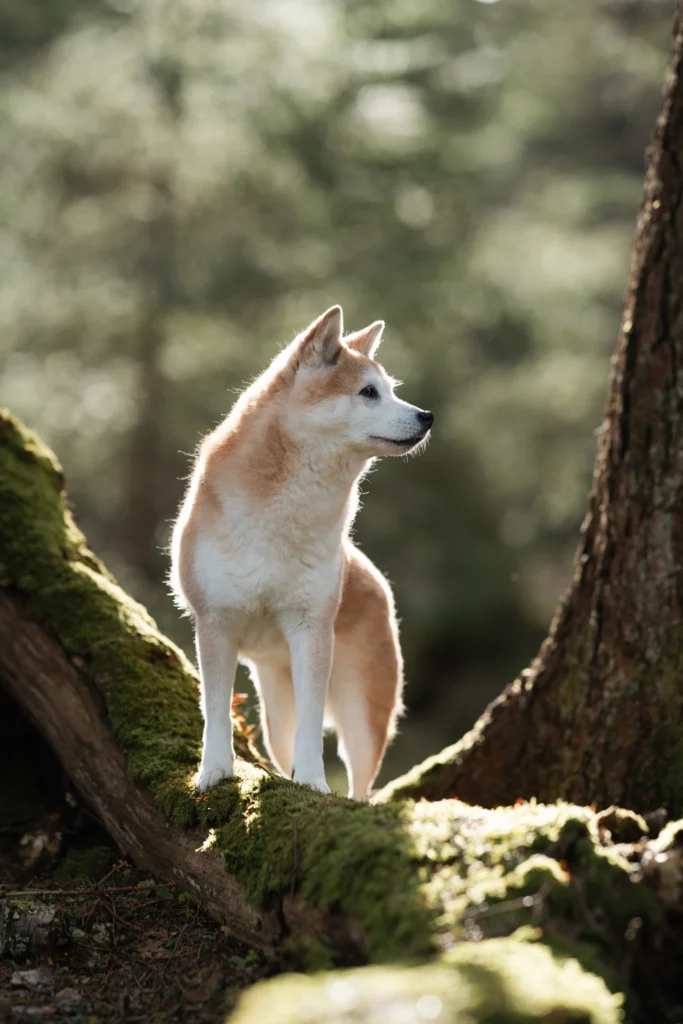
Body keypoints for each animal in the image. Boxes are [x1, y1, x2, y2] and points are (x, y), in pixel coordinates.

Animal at [168, 303, 432, 798]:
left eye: (390, 391)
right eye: (369, 392)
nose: (427, 416)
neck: (285, 510)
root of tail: (378, 581)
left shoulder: (310, 628)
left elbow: (312, 728)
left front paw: (311, 781)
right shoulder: (215, 622)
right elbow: (215, 711)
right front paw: (214, 771)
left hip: (363, 712)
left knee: (363, 783)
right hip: (275, 713)